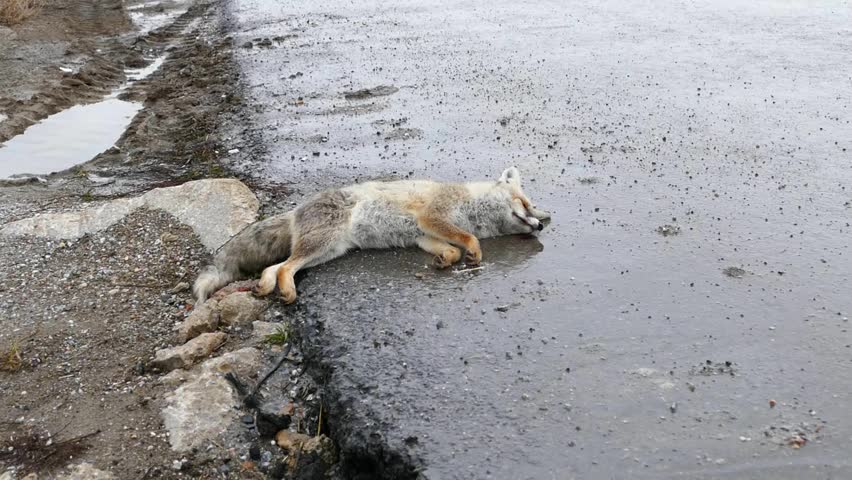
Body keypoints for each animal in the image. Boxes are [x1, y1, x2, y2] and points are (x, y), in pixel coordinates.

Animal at [193, 167, 550, 304]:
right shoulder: (433, 216)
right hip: (320, 245)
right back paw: (285, 290)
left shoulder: (423, 235)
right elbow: (467, 241)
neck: (472, 209)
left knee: (274, 267)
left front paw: (444, 260)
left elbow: (451, 249)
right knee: (283, 268)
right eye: (525, 204)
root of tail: (296, 211)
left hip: (327, 252)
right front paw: (473, 252)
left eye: (533, 208)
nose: (540, 225)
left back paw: (269, 287)